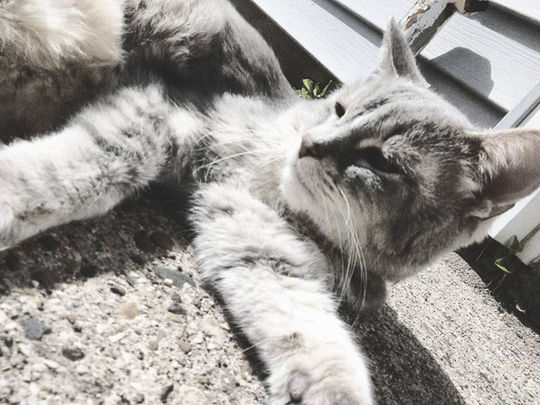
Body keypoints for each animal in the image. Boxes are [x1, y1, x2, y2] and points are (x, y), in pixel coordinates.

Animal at [1, 0, 540, 404]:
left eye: (381, 162)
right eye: (339, 108)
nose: (311, 145)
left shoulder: (255, 236)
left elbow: (304, 323)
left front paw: (330, 386)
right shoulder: (157, 112)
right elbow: (90, 169)